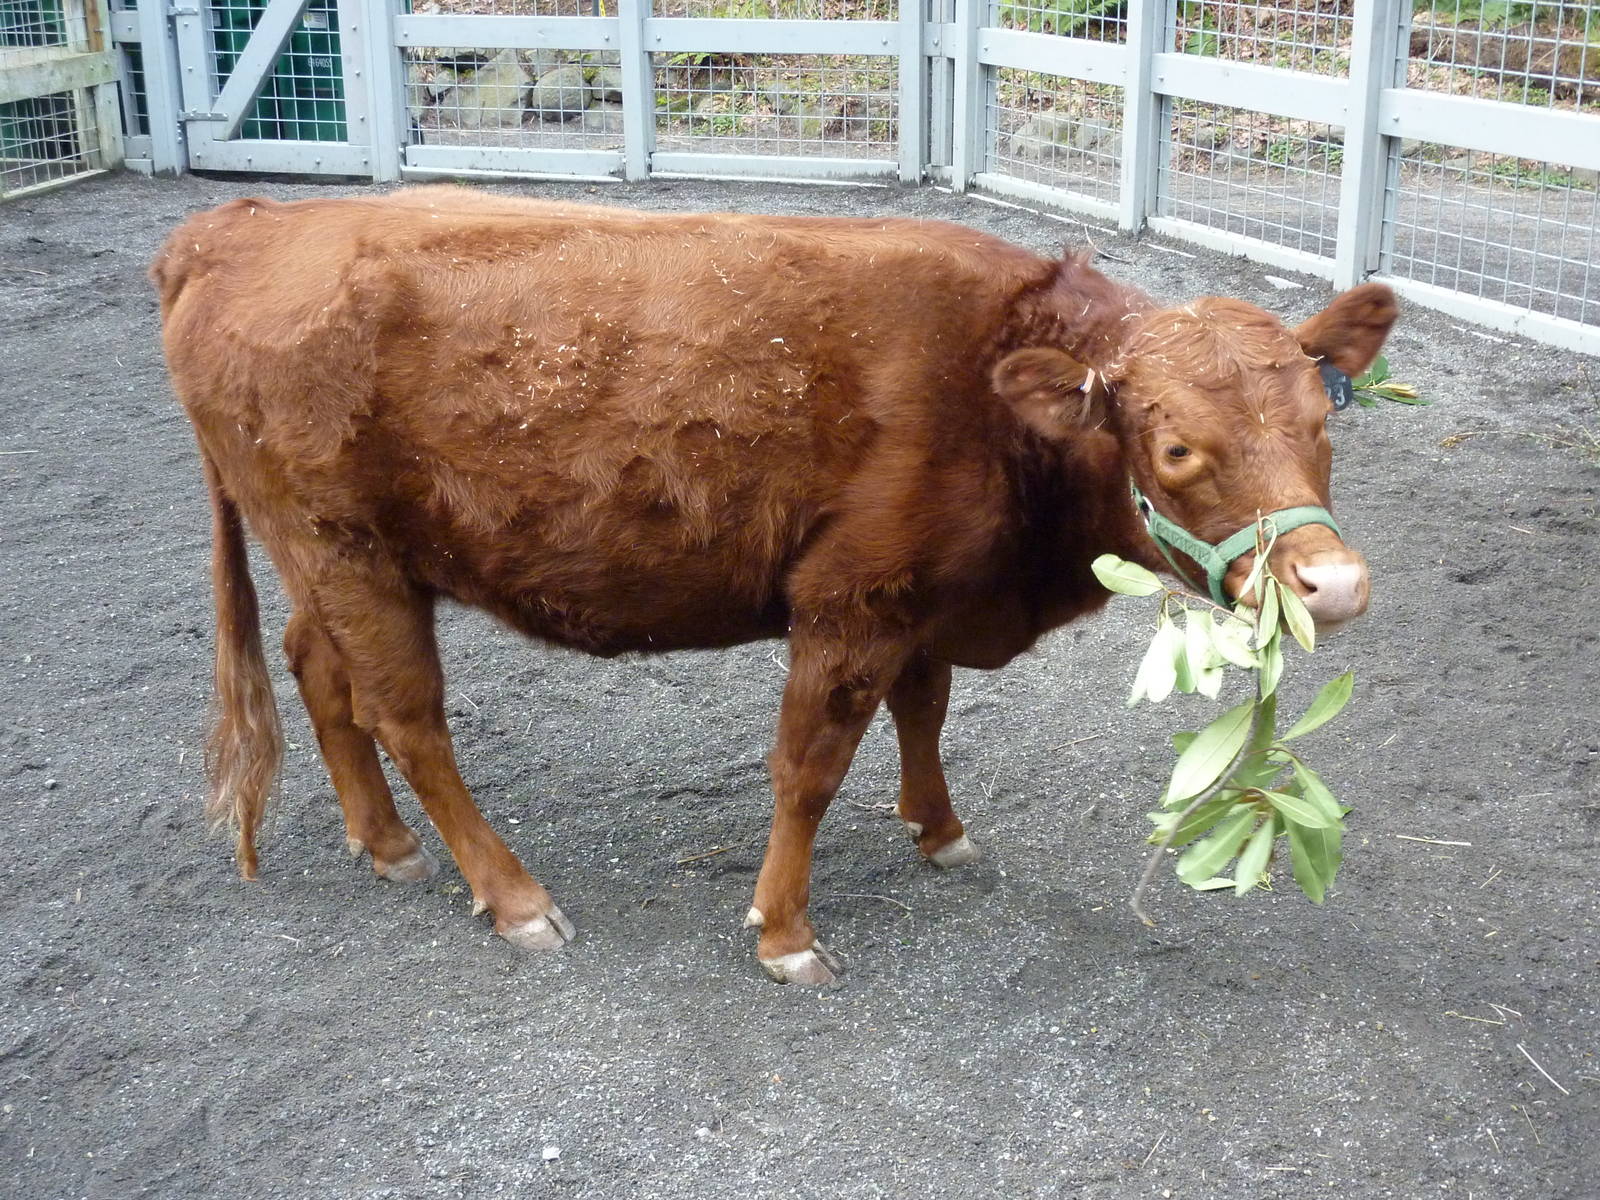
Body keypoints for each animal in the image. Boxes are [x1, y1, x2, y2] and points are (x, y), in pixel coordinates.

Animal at [152, 186, 1396, 984]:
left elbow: (923, 711)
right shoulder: (849, 600)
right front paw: (783, 932)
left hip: (334, 555)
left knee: (321, 672)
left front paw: (939, 828)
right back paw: (514, 900)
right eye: (1177, 448)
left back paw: (384, 843)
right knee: (406, 714)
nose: (1330, 585)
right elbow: (809, 768)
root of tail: (240, 224)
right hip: (341, 545)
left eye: (1321, 419)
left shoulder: (921, 601)